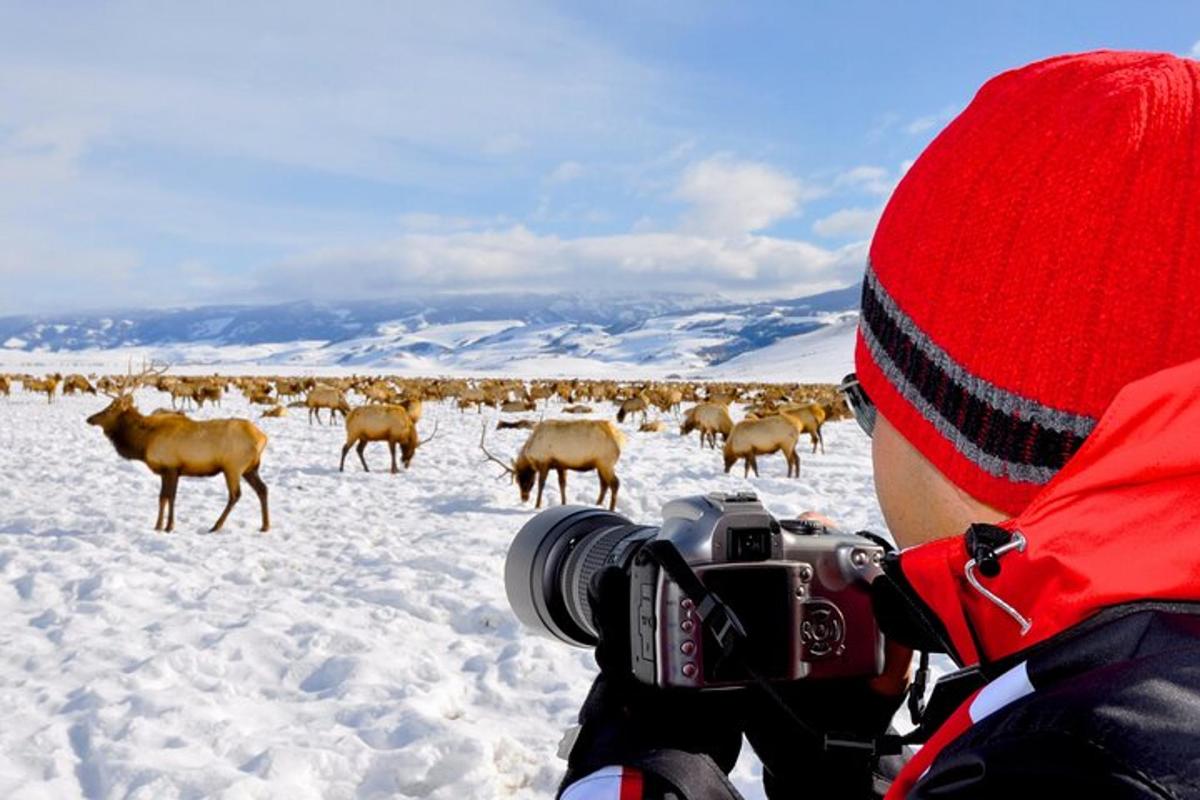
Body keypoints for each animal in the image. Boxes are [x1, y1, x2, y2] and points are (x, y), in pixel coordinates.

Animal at [86, 367, 270, 532]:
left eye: (110, 408)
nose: (90, 418)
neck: (144, 441)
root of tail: (263, 438)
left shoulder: (172, 467)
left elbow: (170, 497)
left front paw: (169, 527)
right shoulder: (165, 470)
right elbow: (162, 497)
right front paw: (158, 526)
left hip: (233, 466)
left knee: (235, 494)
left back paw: (216, 526)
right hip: (250, 468)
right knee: (263, 489)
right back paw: (265, 526)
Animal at [480, 419, 624, 513]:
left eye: (526, 480)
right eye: (517, 481)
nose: (524, 498)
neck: (531, 453)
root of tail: (619, 439)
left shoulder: (545, 463)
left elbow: (541, 484)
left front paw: (537, 505)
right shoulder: (561, 465)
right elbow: (562, 484)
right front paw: (563, 503)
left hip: (605, 462)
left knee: (615, 483)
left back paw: (611, 509)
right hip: (600, 464)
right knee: (604, 484)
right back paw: (597, 504)